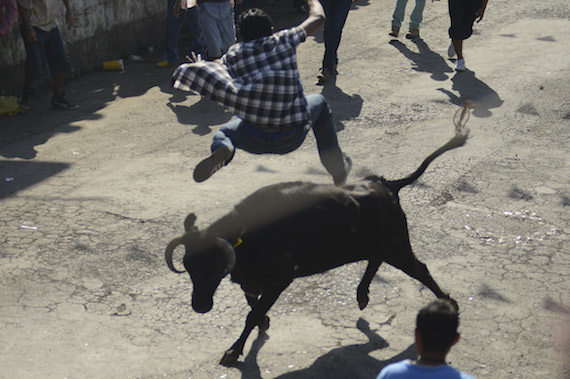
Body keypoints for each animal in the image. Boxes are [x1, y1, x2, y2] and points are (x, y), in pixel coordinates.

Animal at [163, 116, 466, 368]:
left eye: (213, 266)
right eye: (188, 267)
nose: (200, 306)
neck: (250, 236)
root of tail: (386, 185)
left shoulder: (279, 280)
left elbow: (252, 314)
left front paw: (233, 351)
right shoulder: (249, 281)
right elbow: (253, 308)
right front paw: (261, 324)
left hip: (397, 245)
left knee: (419, 269)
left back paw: (447, 303)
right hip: (381, 245)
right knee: (376, 260)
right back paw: (362, 295)